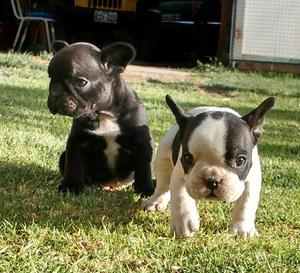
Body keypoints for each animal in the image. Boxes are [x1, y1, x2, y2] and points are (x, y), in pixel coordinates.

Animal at [47, 41, 155, 196]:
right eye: (50, 77)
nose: (55, 93)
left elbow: (144, 169)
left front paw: (145, 190)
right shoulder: (76, 141)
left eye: (81, 82)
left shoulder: (142, 144)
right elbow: (73, 164)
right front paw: (71, 186)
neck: (103, 114)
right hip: (63, 156)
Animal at [142, 94, 276, 237]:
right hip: (163, 156)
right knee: (163, 184)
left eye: (240, 161)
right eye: (187, 158)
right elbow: (181, 198)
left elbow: (246, 203)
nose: (212, 180)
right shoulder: (179, 175)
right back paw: (156, 202)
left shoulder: (252, 178)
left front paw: (242, 229)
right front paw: (184, 224)